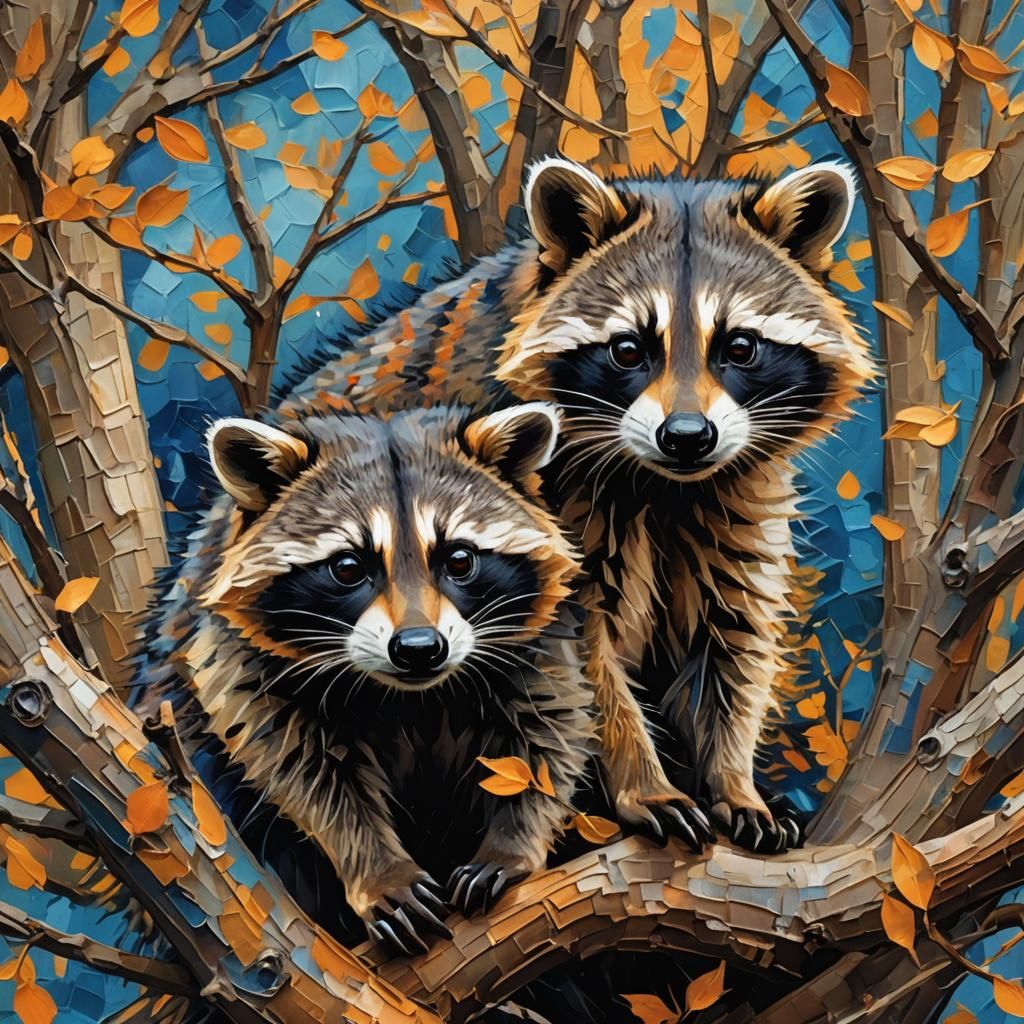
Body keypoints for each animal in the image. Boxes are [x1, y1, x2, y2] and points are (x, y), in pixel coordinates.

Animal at [140, 402, 591, 954]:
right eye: (349, 567)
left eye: (459, 559)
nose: (419, 648)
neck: (411, 696)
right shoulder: (243, 664)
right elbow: (306, 772)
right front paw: (379, 873)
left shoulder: (532, 640)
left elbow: (546, 734)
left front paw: (511, 845)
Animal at [285, 159, 873, 854]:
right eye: (628, 349)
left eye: (740, 347)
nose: (687, 435)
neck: (665, 484)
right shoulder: (548, 505)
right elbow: (583, 659)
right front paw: (642, 781)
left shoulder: (735, 498)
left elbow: (730, 640)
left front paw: (733, 781)